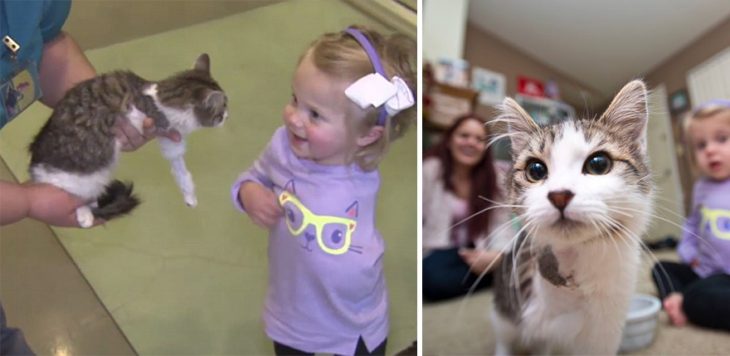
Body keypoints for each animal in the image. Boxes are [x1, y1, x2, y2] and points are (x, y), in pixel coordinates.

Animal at [29, 53, 228, 227]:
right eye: (222, 110)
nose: (228, 115)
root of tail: (36, 168)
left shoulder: (170, 140)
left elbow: (180, 170)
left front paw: (189, 196)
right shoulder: (144, 118)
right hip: (87, 176)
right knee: (73, 193)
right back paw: (85, 213)